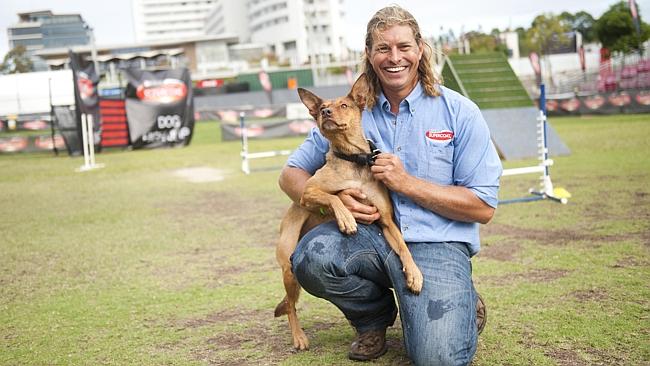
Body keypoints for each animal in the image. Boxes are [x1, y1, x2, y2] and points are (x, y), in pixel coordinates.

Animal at [272, 75, 420, 352]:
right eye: (321, 108)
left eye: (344, 105)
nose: (326, 113)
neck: (354, 160)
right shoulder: (308, 191)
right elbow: (335, 197)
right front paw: (346, 218)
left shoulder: (386, 221)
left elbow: (404, 248)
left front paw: (415, 275)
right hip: (288, 269)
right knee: (290, 306)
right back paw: (299, 337)